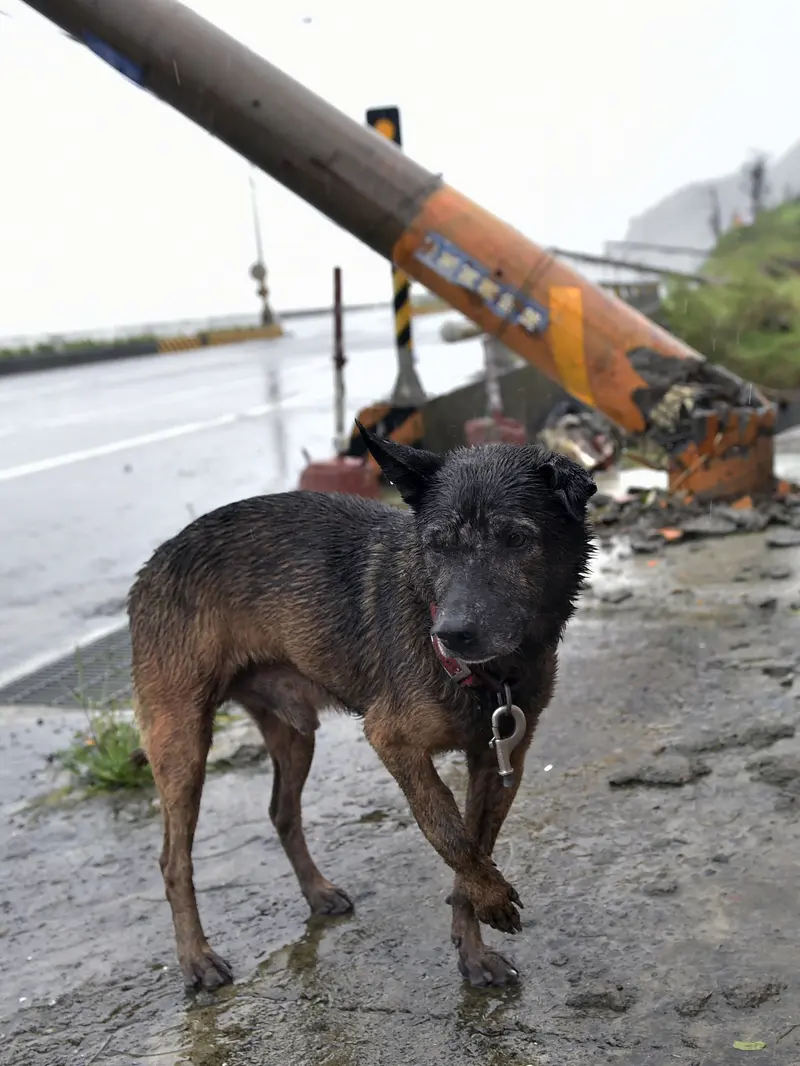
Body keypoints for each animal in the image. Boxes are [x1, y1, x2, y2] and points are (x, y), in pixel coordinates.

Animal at [130, 422, 597, 989]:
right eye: (436, 545)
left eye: (516, 539)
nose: (451, 634)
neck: (493, 674)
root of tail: (156, 559)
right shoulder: (392, 740)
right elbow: (448, 833)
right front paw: (490, 900)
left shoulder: (501, 759)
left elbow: (475, 844)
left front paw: (473, 948)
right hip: (182, 741)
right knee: (173, 861)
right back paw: (197, 958)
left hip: (294, 732)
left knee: (282, 813)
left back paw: (317, 892)